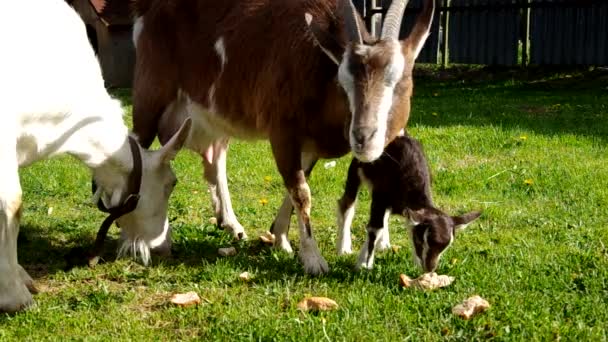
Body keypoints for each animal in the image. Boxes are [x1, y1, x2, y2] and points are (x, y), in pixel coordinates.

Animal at [132, 0, 436, 274]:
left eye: (399, 80)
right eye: (342, 83)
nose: (363, 138)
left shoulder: (309, 146)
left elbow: (296, 186)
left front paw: (280, 237)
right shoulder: (283, 132)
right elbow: (301, 192)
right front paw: (313, 260)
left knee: (216, 158)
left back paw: (231, 224)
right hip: (150, 97)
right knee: (136, 147)